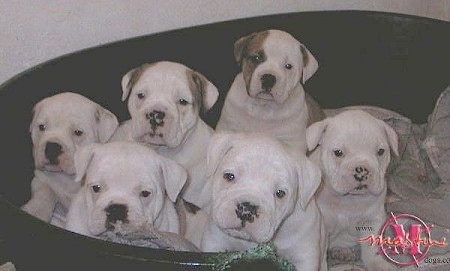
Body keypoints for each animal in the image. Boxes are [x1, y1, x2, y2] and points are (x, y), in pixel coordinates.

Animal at [21, 92, 119, 226]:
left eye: (78, 132)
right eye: (41, 127)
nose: (52, 147)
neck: (68, 178)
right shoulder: (41, 178)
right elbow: (43, 193)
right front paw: (35, 211)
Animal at [306, 109, 400, 270]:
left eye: (380, 152)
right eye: (338, 152)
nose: (361, 169)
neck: (349, 199)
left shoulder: (372, 220)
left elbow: (371, 248)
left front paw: (379, 264)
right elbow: (320, 254)